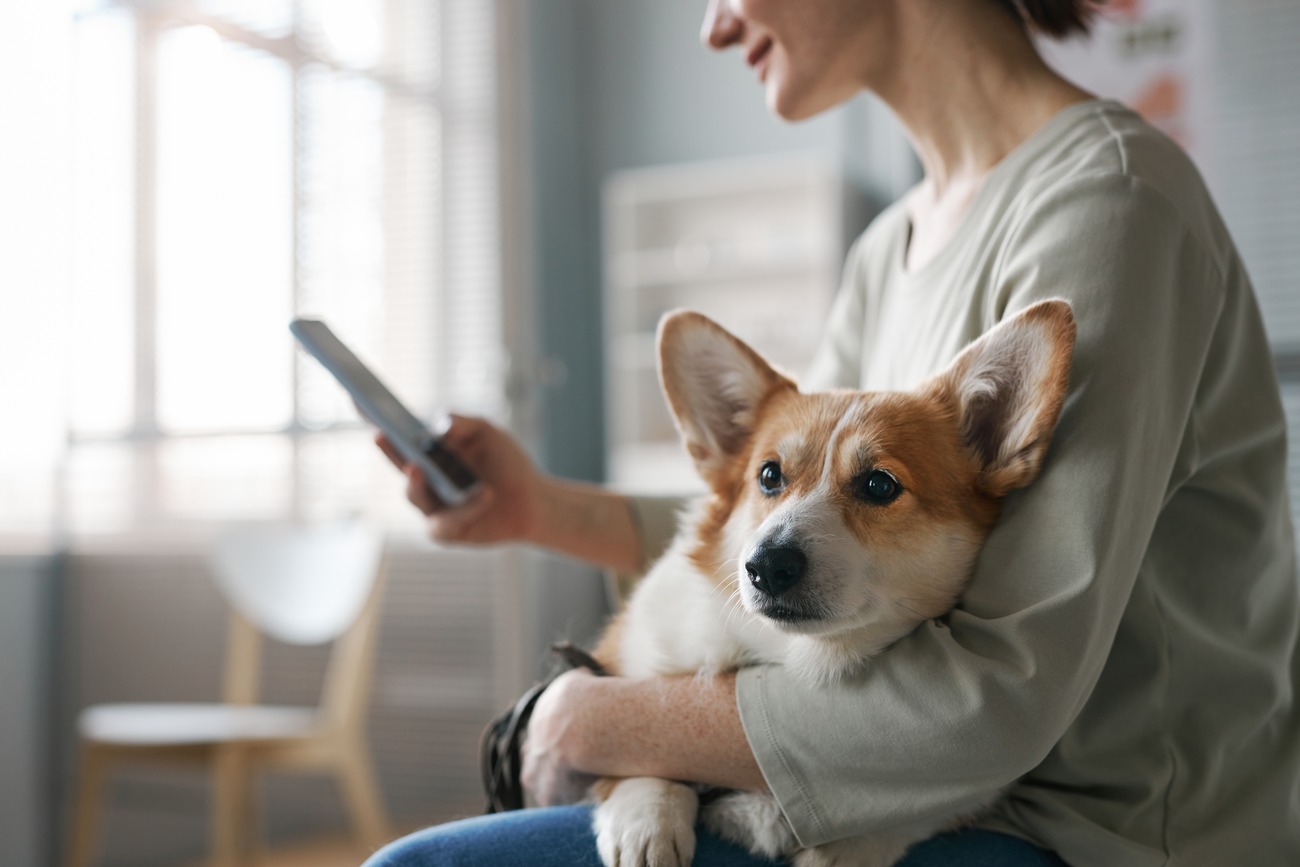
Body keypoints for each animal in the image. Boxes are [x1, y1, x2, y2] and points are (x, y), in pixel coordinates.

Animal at [585, 300, 1071, 867]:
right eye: (769, 476)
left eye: (879, 485)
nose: (765, 565)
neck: (793, 656)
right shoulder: (622, 664)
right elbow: (638, 751)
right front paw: (648, 819)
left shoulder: (976, 791)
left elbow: (902, 819)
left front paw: (841, 849)